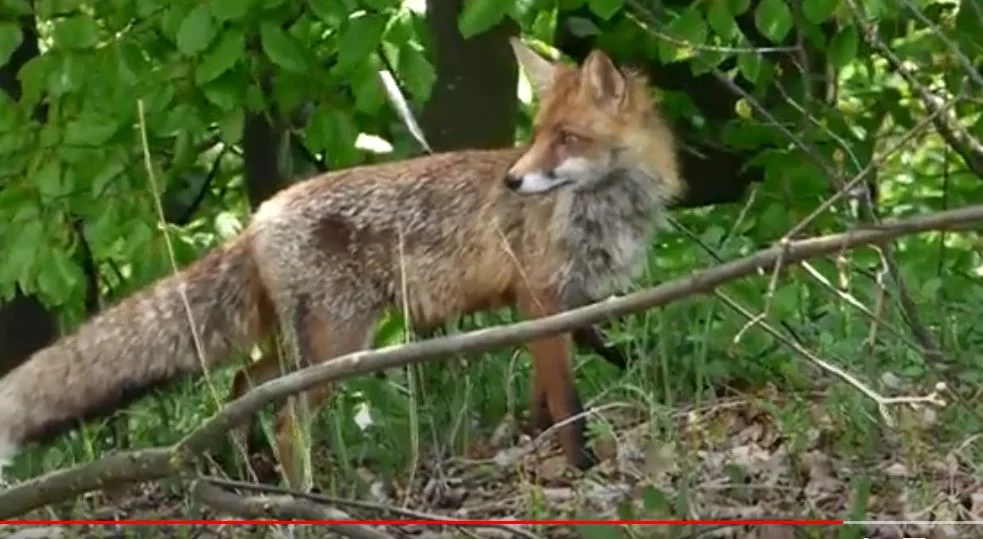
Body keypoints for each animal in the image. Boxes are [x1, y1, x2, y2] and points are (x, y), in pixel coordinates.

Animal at [0, 37, 684, 486]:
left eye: (567, 138)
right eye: (539, 134)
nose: (514, 181)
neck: (602, 212)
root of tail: (259, 216)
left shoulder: (560, 306)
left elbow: (550, 395)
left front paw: (536, 448)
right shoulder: (539, 298)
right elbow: (568, 404)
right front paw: (578, 467)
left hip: (309, 343)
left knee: (246, 384)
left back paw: (248, 470)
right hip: (338, 345)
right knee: (284, 418)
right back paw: (304, 493)